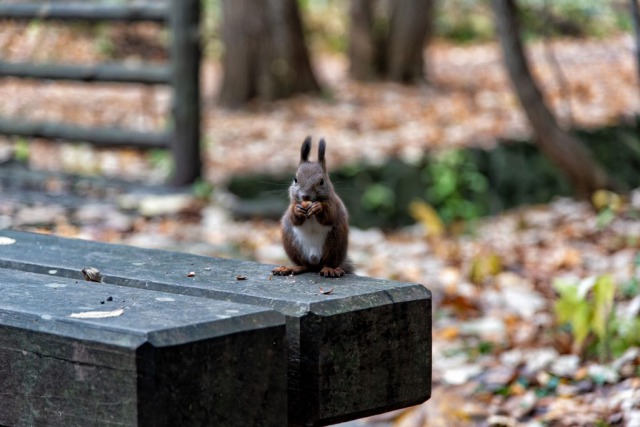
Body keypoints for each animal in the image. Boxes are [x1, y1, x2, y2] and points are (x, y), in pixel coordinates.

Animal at [268, 135, 350, 280]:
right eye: (295, 179)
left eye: (322, 181)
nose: (305, 196)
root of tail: (314, 260)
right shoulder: (292, 206)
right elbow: (293, 217)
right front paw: (297, 210)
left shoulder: (334, 204)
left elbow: (330, 215)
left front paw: (319, 208)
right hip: (292, 243)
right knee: (303, 265)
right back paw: (290, 268)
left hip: (335, 242)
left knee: (328, 262)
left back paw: (330, 269)